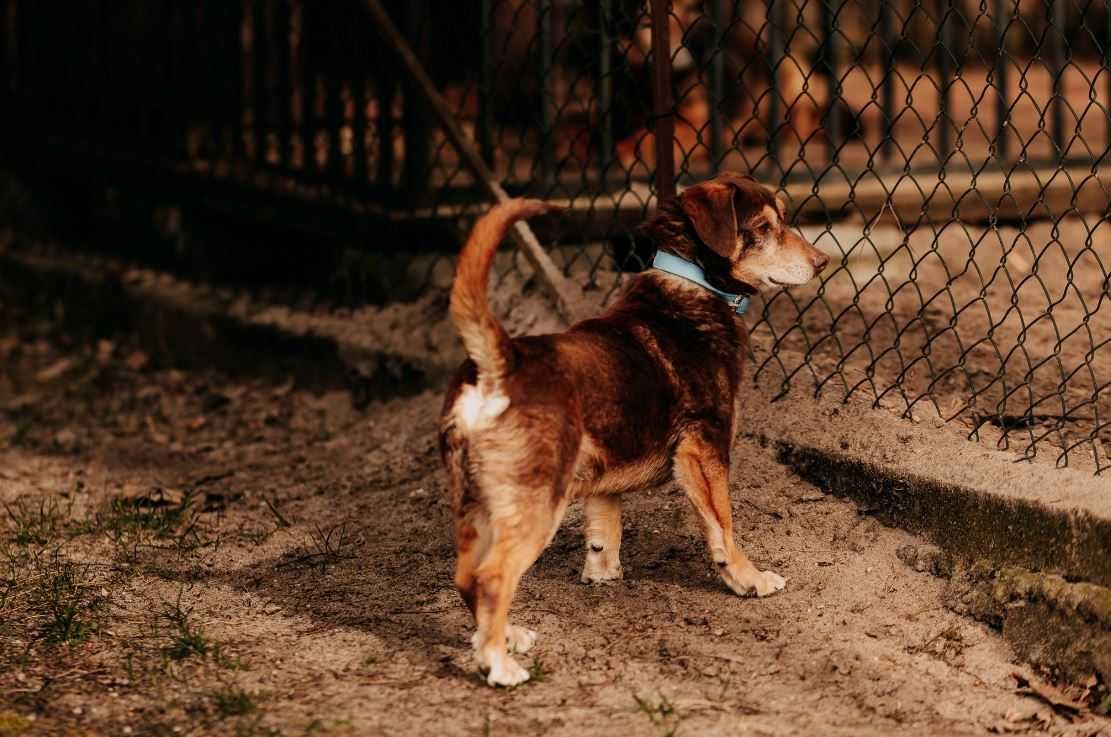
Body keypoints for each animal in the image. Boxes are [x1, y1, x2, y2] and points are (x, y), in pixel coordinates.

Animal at [437, 173, 831, 684]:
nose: (823, 261)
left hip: (477, 503)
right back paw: (499, 663)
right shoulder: (705, 449)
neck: (694, 283)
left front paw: (602, 575)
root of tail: (498, 364)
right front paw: (749, 578)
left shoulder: (606, 473)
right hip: (536, 503)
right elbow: (722, 527)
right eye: (764, 227)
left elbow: (606, 530)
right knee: (492, 577)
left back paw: (505, 637)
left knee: (466, 576)